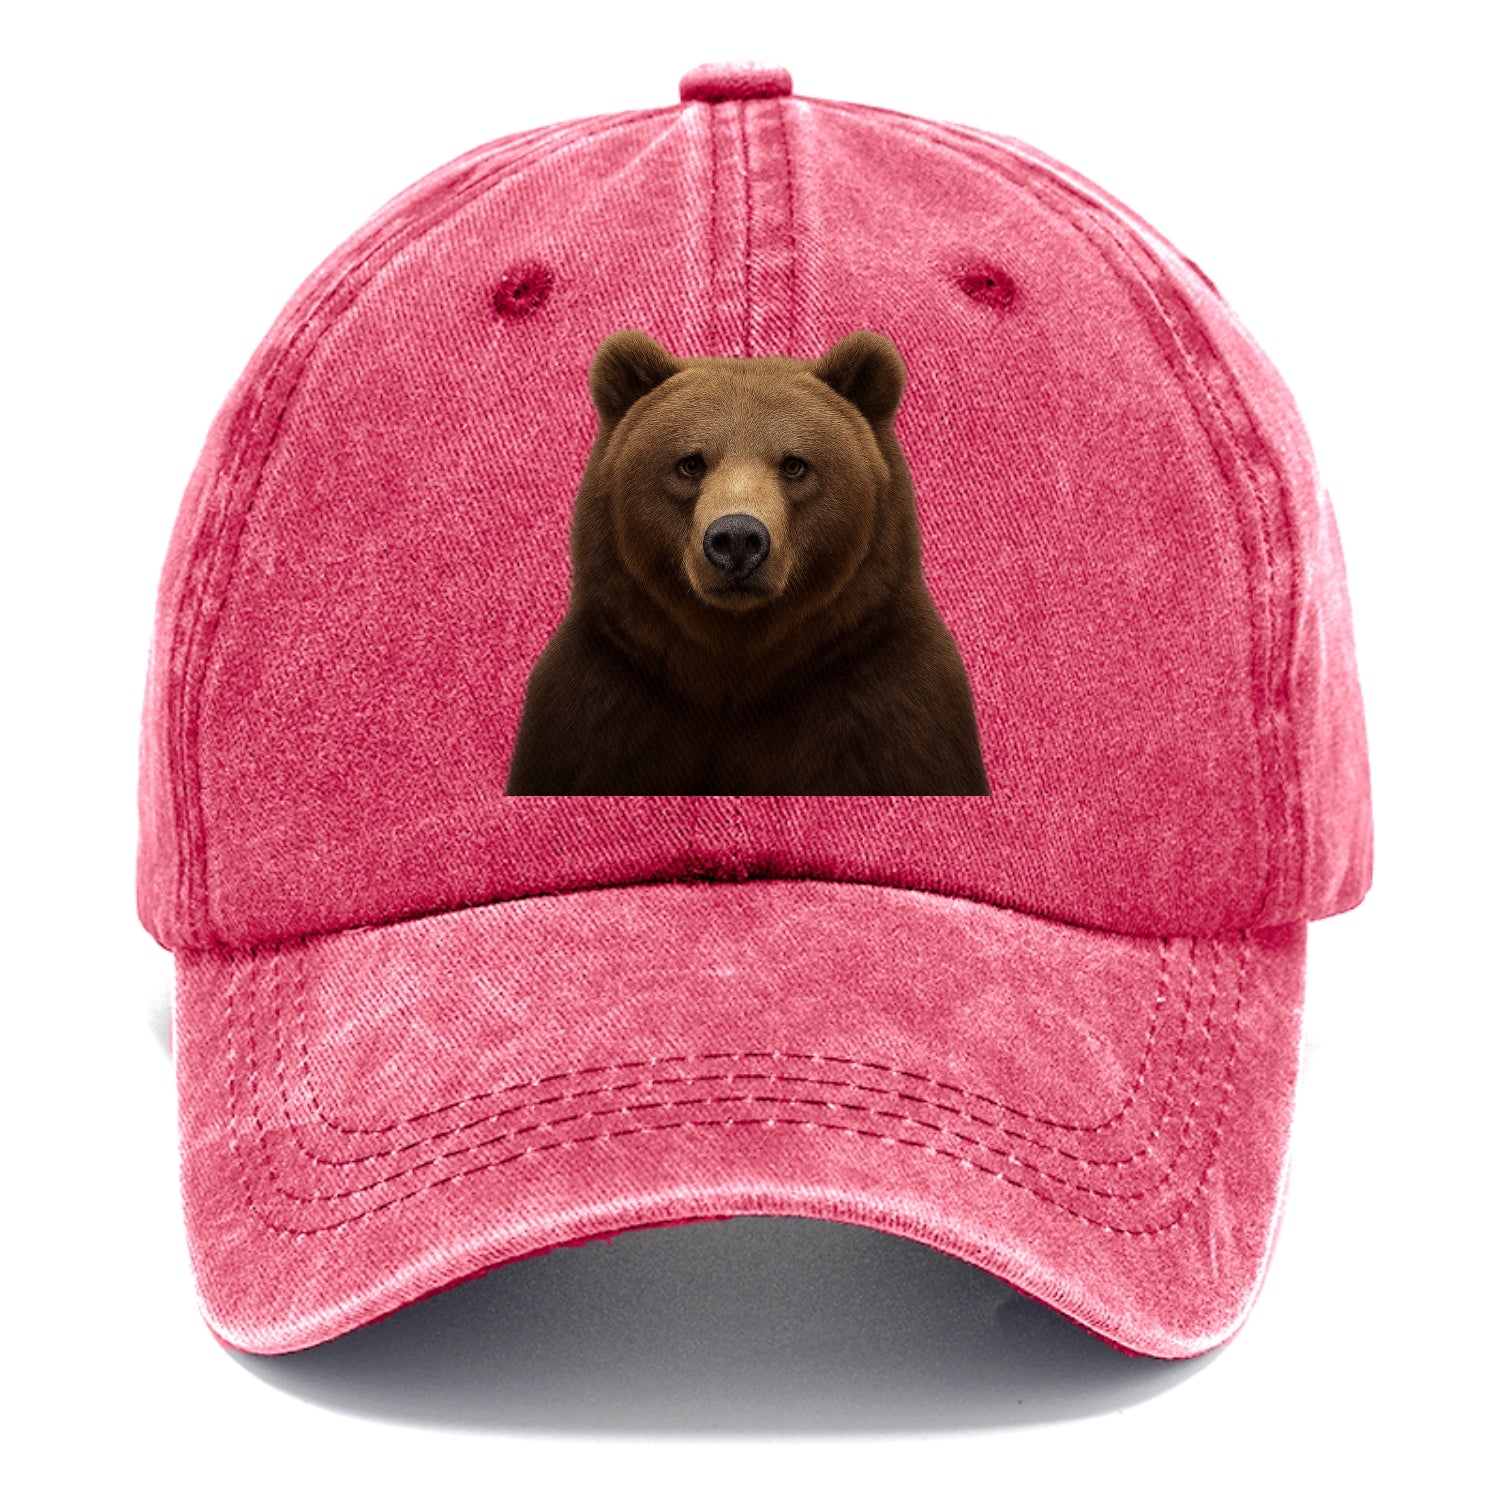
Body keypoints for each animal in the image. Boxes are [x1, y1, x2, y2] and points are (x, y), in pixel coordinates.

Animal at [504, 328, 990, 796]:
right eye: (690, 463)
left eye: (794, 464)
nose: (737, 539)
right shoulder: (602, 703)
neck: (738, 665)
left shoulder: (884, 703)